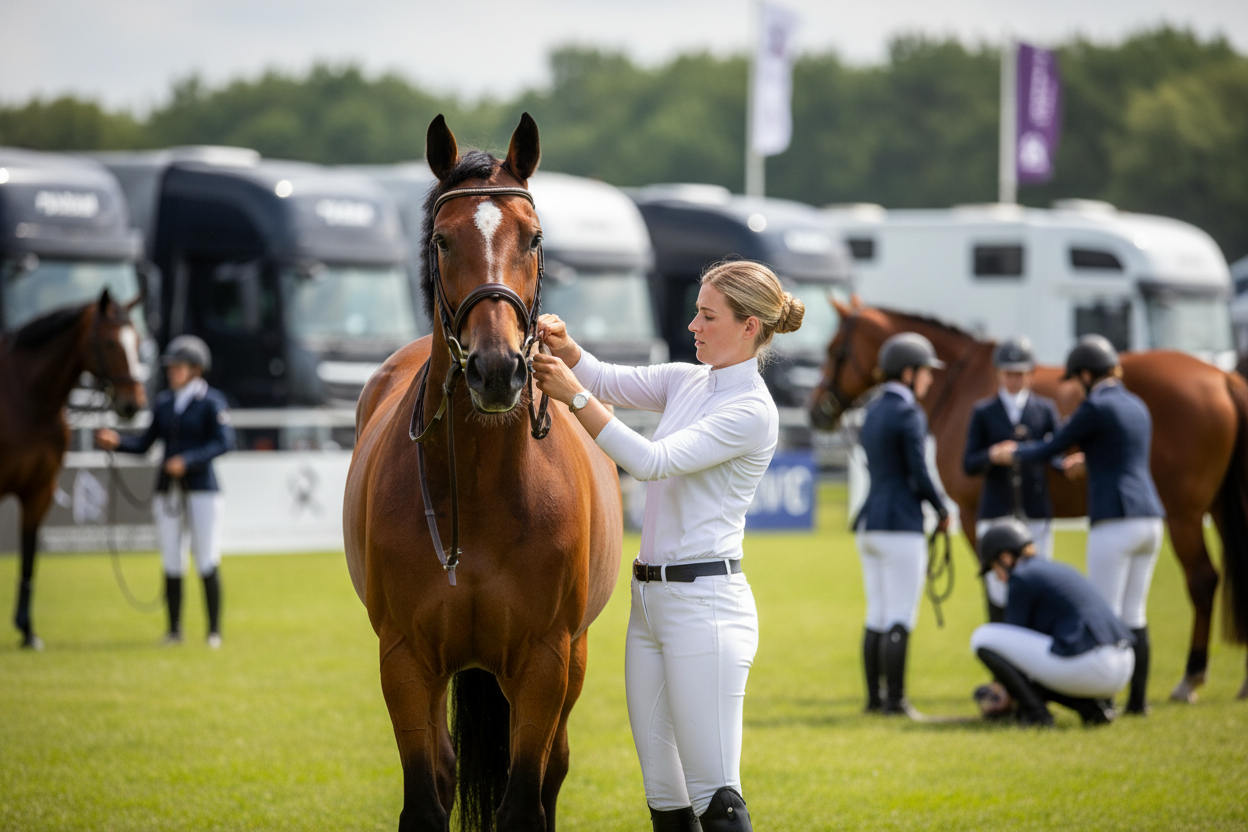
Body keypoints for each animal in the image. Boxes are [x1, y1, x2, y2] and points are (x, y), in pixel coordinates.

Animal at [1, 289, 148, 648]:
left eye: (137, 340)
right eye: (109, 343)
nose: (133, 404)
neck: (27, 398)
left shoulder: (40, 489)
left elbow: (29, 555)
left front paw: (28, 631)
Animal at [343, 114, 623, 832]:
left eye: (535, 237)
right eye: (443, 240)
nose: (497, 370)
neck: (482, 487)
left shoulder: (546, 661)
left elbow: (524, 801)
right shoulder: (406, 661)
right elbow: (426, 796)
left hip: (573, 659)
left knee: (553, 771)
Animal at [809, 297, 1248, 704]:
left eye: (834, 349)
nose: (816, 412)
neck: (962, 385)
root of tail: (1223, 376)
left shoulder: (972, 515)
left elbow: (995, 597)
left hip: (1183, 515)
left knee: (1202, 580)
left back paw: (1190, 678)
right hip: (1215, 510)